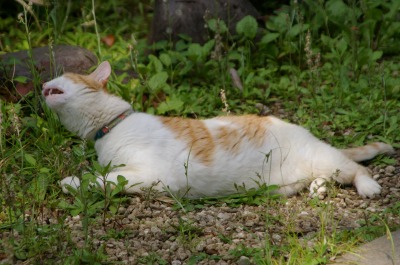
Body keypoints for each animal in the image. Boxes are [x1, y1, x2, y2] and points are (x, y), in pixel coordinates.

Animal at [43, 61, 394, 198]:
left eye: (65, 77)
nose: (44, 83)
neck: (112, 126)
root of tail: (309, 135)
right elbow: (106, 176)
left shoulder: (148, 173)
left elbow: (104, 179)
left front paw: (73, 182)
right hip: (281, 184)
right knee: (321, 178)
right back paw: (318, 187)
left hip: (325, 159)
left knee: (355, 169)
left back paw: (367, 187)